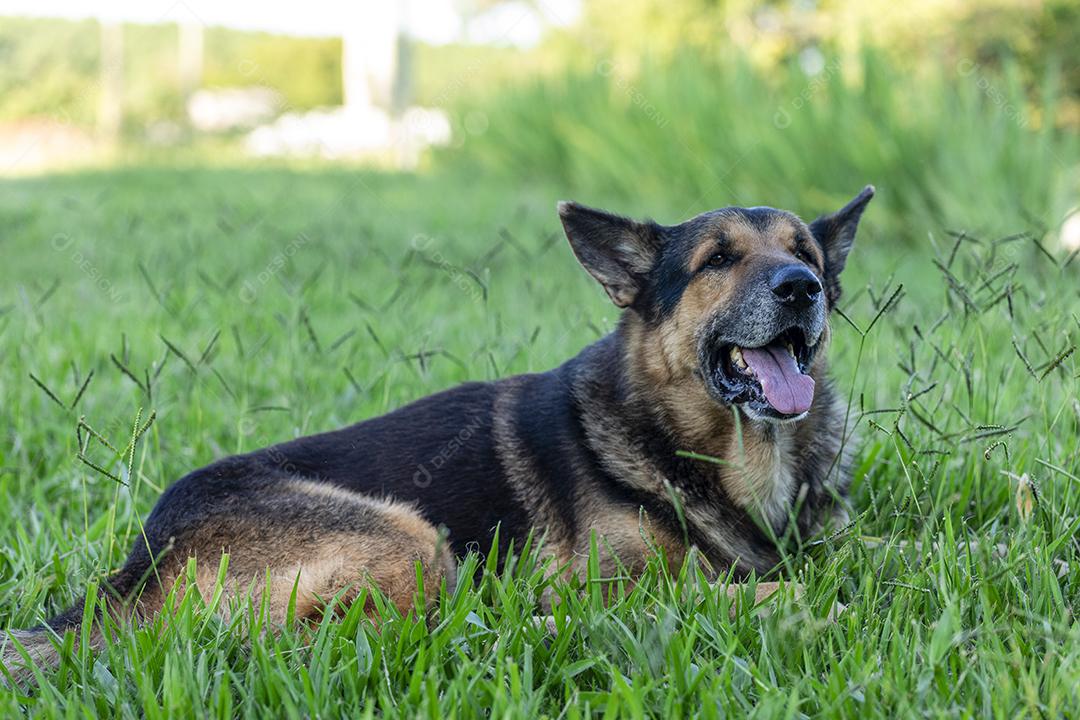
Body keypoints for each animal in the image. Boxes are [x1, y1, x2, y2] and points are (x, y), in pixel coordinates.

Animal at [0, 185, 872, 682]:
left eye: (803, 253)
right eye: (717, 261)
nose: (802, 288)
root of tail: (138, 565)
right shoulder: (597, 581)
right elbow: (715, 590)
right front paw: (791, 603)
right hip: (408, 537)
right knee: (386, 640)